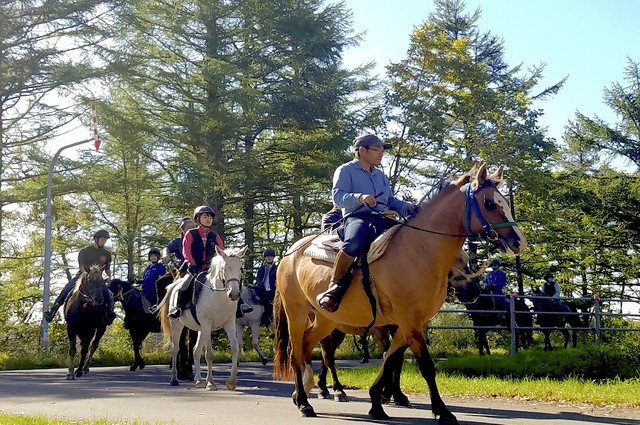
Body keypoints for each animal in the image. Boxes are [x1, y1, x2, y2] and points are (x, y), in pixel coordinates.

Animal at [159, 247, 248, 390]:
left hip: (201, 330)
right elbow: (209, 354)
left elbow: (234, 348)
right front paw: (210, 383)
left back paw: (198, 380)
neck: (218, 296)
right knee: (175, 349)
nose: (234, 294)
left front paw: (231, 382)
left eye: (240, 268)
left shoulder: (229, 324)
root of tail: (175, 285)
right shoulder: (207, 325)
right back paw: (174, 379)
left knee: (195, 350)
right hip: (177, 325)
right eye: (224, 268)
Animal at [272, 164, 528, 422]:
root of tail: (291, 253)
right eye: (489, 203)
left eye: (505, 202)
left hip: (326, 319)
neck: (419, 250)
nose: (519, 242)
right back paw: (306, 402)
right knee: (297, 352)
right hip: (296, 312)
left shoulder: (411, 325)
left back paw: (305, 391)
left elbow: (390, 361)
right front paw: (442, 411)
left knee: (309, 346)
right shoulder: (408, 322)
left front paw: (378, 403)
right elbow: (425, 366)